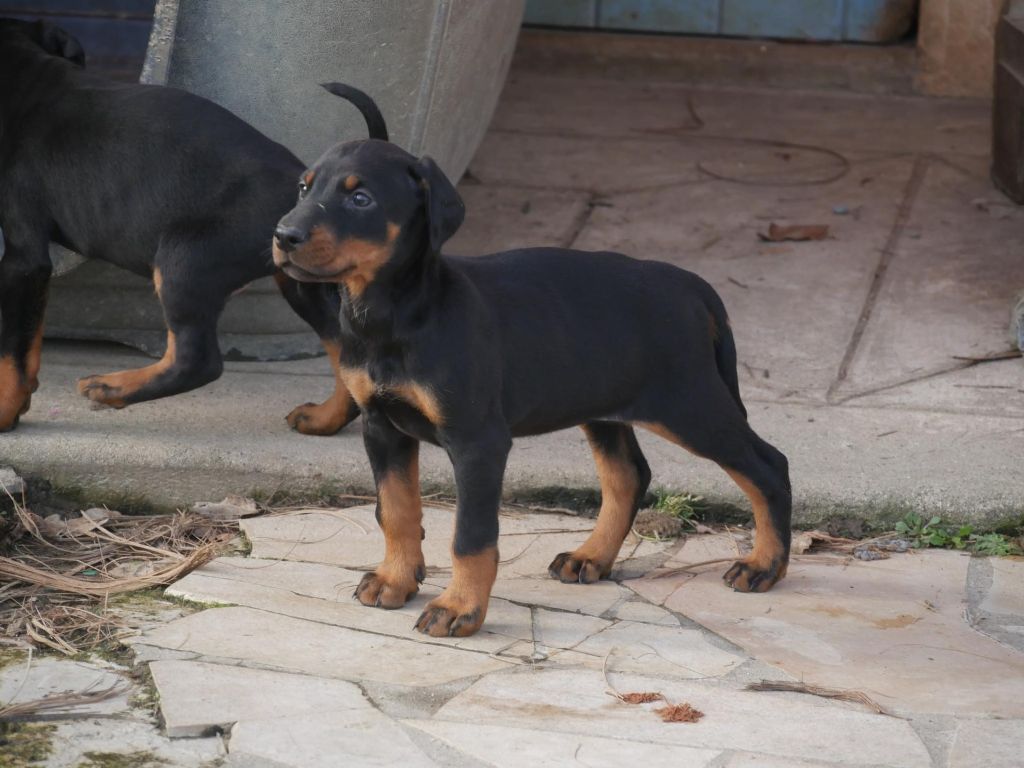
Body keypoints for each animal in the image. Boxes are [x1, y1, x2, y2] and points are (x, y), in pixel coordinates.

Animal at [1, 18, 385, 436]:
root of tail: (299, 185)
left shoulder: (24, 259)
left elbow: (13, 346)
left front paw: (5, 411)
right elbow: (28, 338)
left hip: (184, 259)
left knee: (197, 360)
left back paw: (112, 387)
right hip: (300, 277)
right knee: (342, 345)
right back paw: (324, 418)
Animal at [272, 137, 790, 638]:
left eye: (361, 198)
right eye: (303, 188)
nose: (282, 235)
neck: (397, 313)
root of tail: (693, 286)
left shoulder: (478, 441)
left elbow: (471, 536)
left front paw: (459, 608)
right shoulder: (382, 427)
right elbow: (396, 511)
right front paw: (395, 580)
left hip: (689, 405)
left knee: (769, 465)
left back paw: (764, 566)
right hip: (603, 404)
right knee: (629, 475)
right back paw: (591, 556)